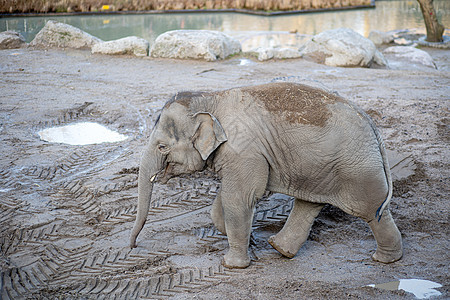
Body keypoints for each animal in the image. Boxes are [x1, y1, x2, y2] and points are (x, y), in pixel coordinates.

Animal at [128, 82, 402, 270]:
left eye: (162, 146)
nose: (132, 246)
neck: (210, 98)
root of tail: (373, 126)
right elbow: (224, 203)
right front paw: (248, 239)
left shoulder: (243, 151)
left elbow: (238, 198)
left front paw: (232, 265)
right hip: (322, 168)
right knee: (309, 203)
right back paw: (279, 249)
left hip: (356, 169)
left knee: (372, 211)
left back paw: (385, 259)